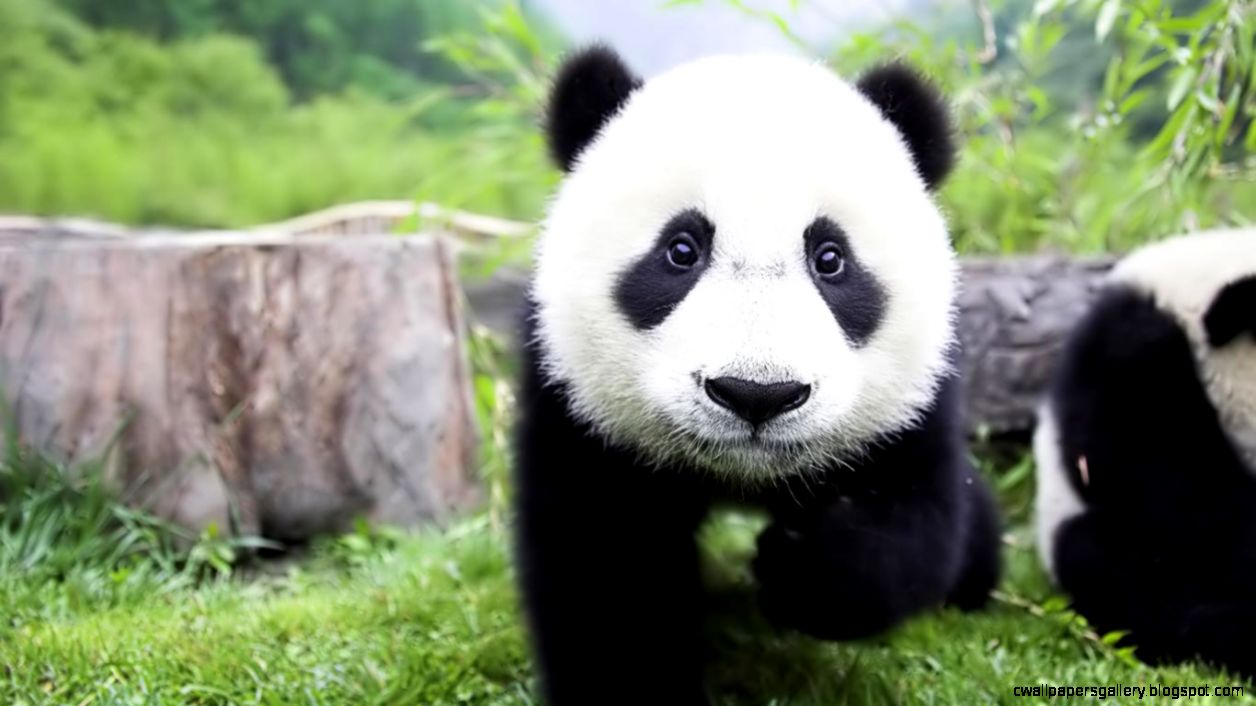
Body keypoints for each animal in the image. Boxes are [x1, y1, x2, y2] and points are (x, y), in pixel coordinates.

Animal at [514, 46, 1002, 705]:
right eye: (681, 250)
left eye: (830, 259)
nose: (757, 395)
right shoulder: (574, 399)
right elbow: (606, 568)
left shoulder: (915, 399)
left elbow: (913, 518)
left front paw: (801, 569)